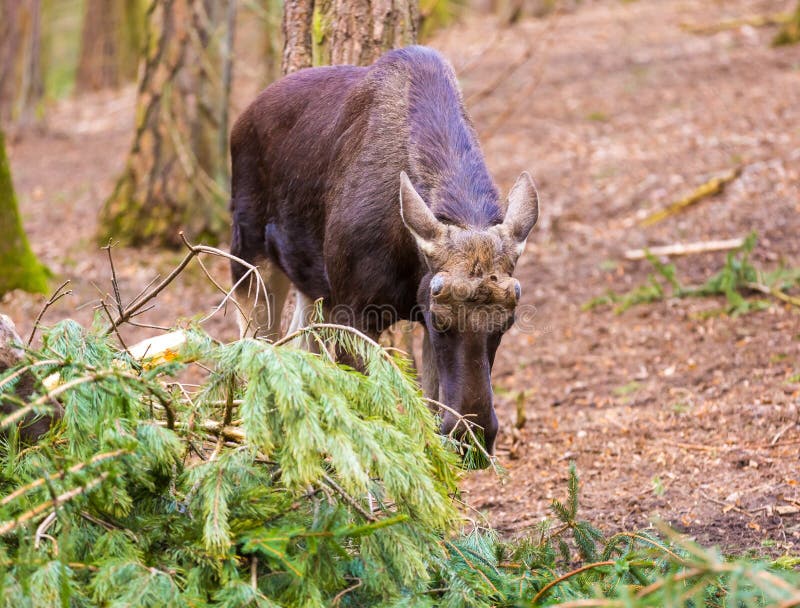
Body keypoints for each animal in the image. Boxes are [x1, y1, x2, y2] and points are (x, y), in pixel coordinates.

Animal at [229, 46, 539, 454]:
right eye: (442, 321)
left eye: (507, 323)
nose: (472, 436)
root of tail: (240, 121)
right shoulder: (358, 313)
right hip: (249, 260)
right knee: (254, 352)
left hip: (311, 286)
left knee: (299, 348)